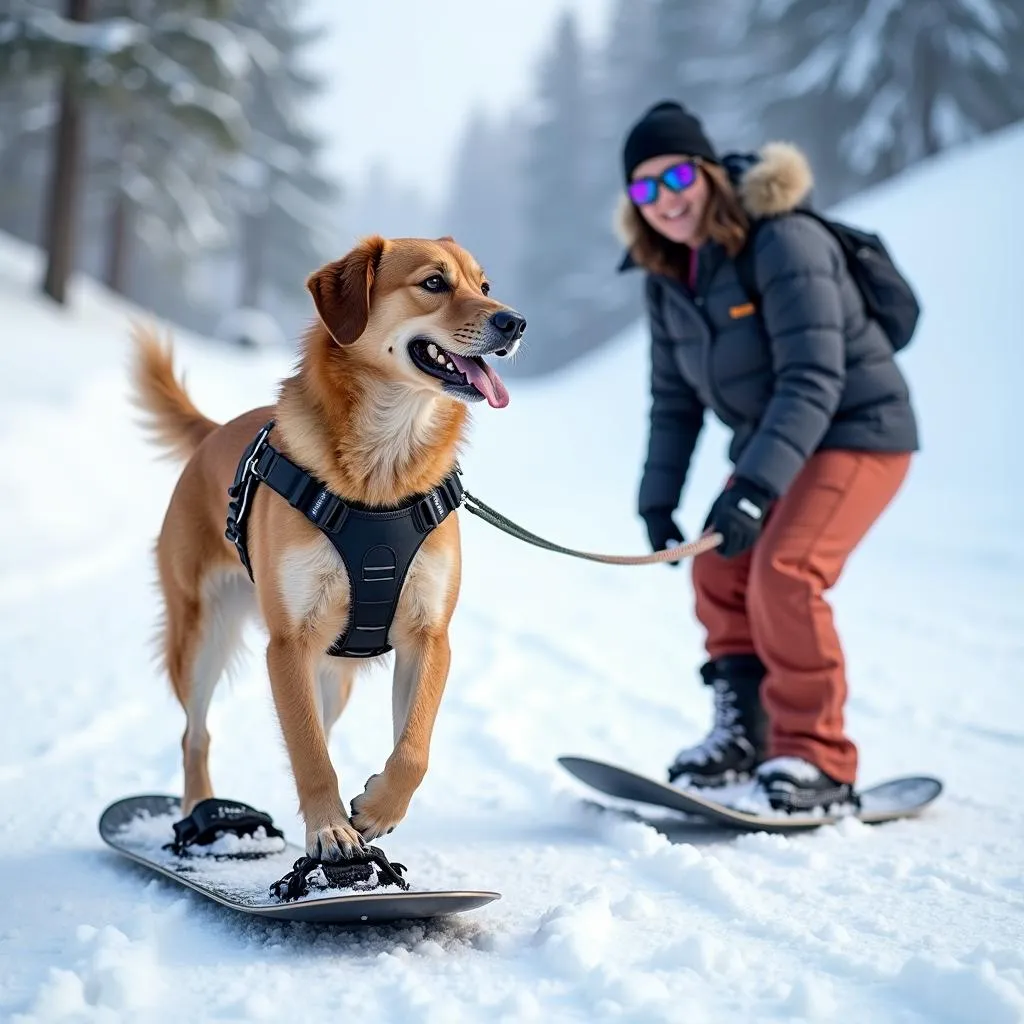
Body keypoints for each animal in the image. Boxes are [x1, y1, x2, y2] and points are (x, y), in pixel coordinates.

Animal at [129, 235, 524, 860]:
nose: (515, 322)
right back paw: (201, 815)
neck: (384, 469)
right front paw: (330, 829)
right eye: (434, 283)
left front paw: (377, 809)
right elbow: (309, 754)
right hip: (201, 636)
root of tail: (213, 432)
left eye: (484, 287)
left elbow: (412, 750)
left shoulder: (427, 637)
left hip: (331, 674)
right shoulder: (289, 644)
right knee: (197, 733)